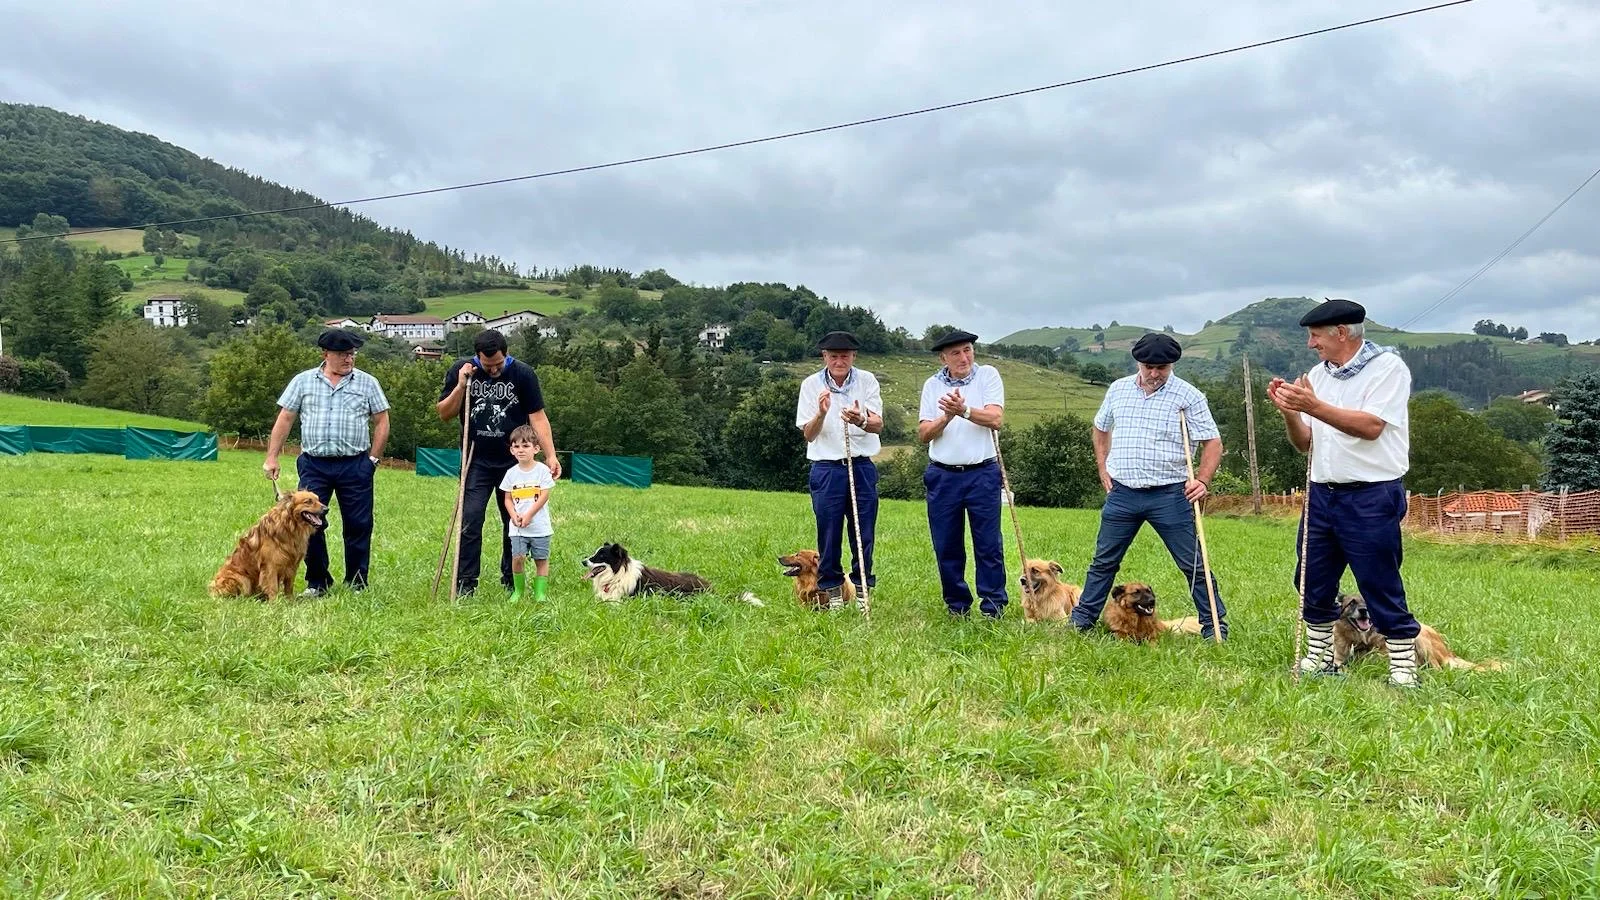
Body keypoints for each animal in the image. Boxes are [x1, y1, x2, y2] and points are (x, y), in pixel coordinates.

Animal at [1332, 593, 1502, 671]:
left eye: (1367, 602)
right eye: (1352, 603)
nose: (1363, 610)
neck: (1361, 639)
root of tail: (1448, 652)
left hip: (1420, 637)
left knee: (1437, 668)